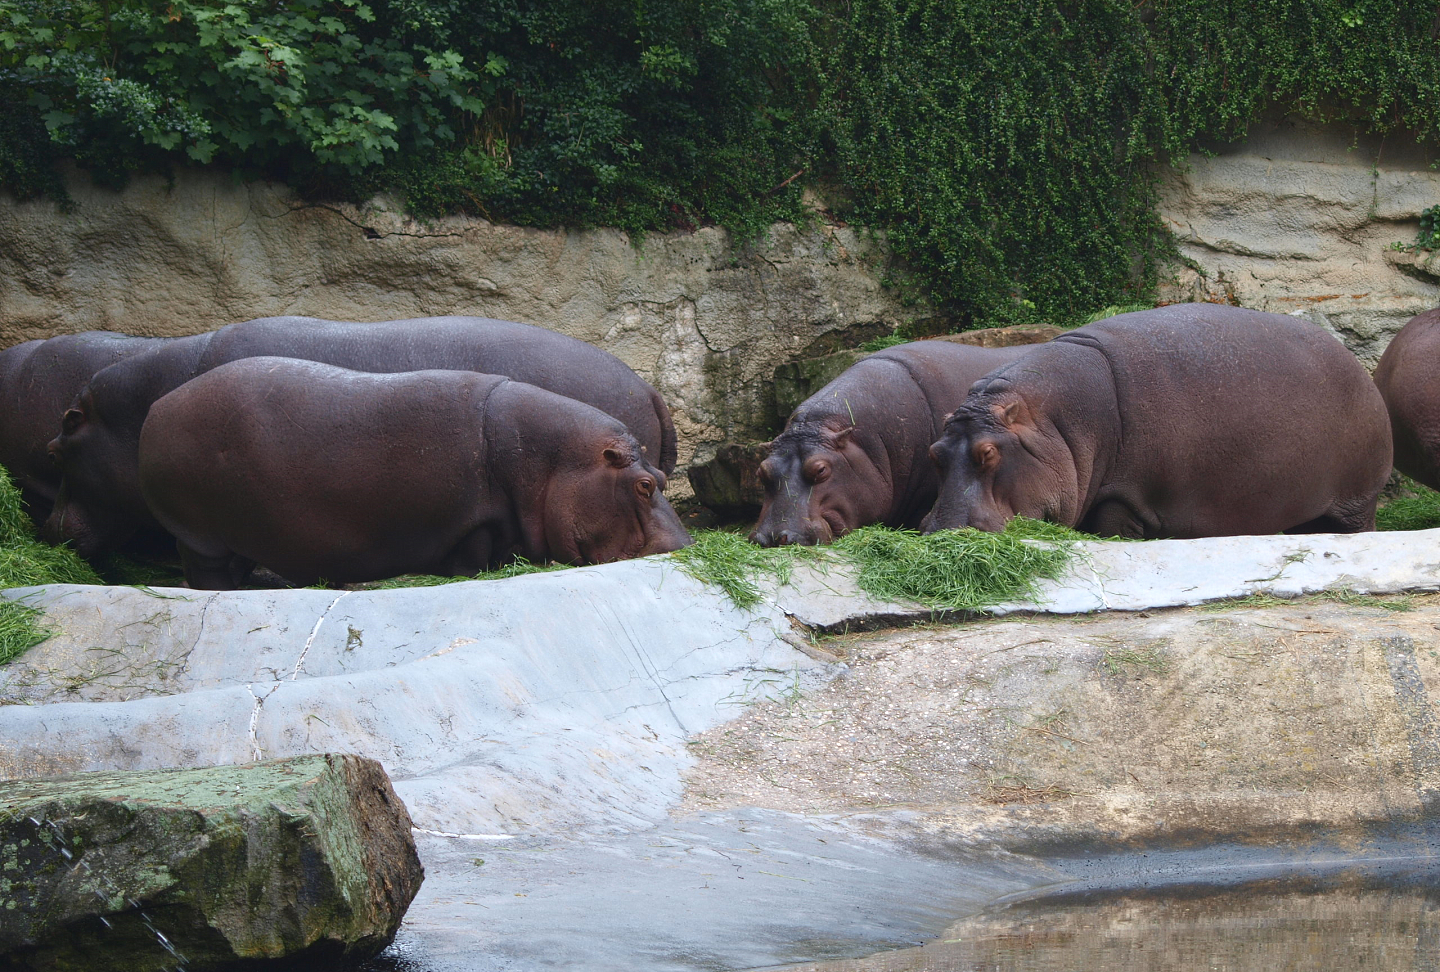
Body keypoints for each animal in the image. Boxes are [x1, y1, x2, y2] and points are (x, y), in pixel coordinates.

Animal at [138, 358, 692, 589]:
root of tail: (158, 408)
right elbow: (473, 560)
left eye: (665, 481)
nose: (686, 548)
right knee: (207, 574)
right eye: (645, 485)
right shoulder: (472, 524)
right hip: (200, 534)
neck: (554, 460)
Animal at [923, 303, 1392, 538]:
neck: (1056, 425)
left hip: (1356, 499)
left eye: (988, 453)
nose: (941, 532)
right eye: (934, 453)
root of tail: (1358, 368)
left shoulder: (1129, 497)